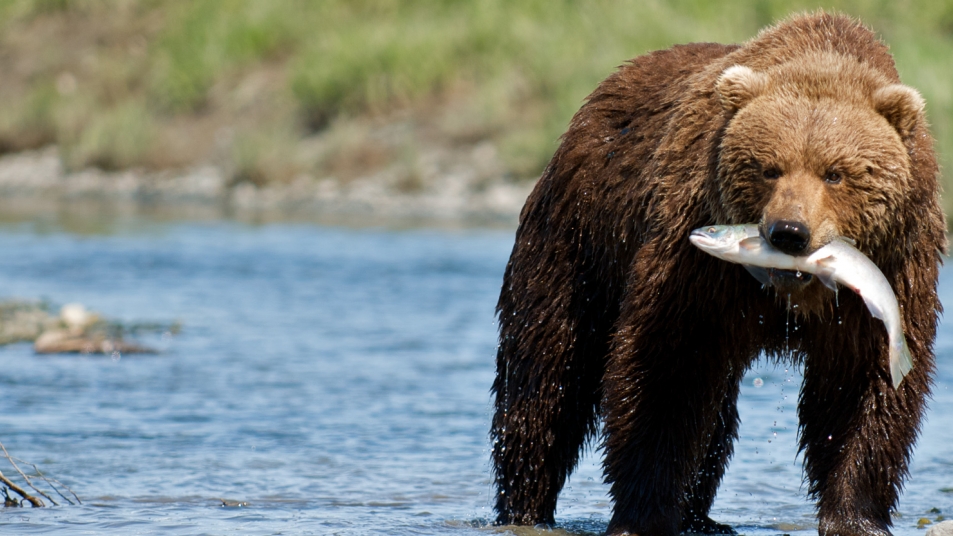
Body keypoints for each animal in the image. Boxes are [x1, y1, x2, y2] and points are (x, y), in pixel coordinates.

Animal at [490, 9, 944, 536]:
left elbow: (862, 387)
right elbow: (665, 368)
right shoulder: (692, 261)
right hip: (578, 240)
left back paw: (700, 516)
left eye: (835, 172)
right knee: (546, 377)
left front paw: (855, 515)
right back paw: (524, 504)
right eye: (769, 168)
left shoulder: (893, 271)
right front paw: (642, 513)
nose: (789, 232)